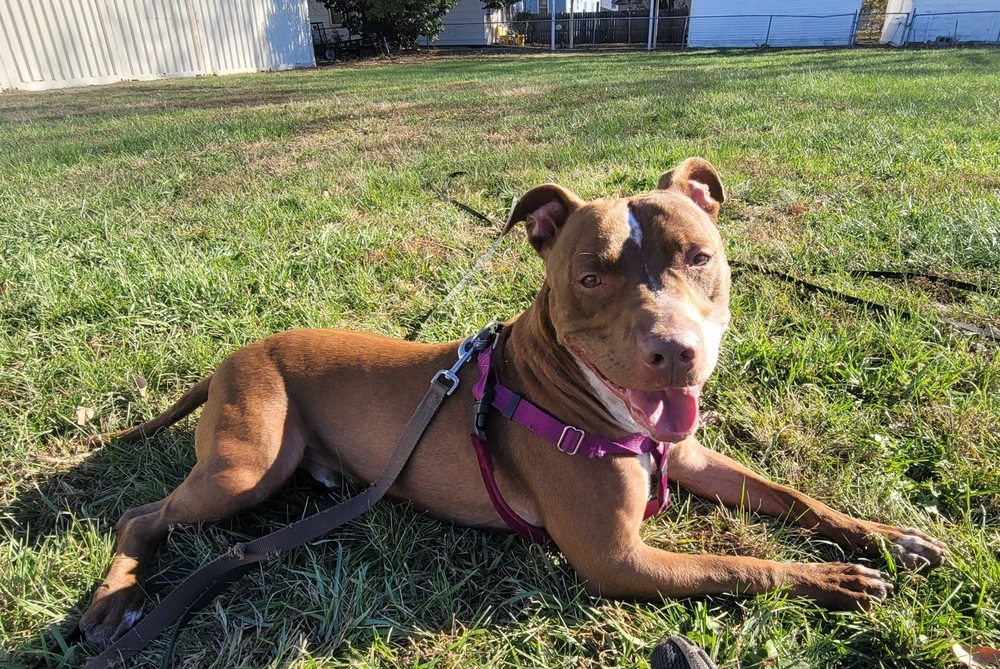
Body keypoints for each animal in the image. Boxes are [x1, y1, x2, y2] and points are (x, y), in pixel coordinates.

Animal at [78, 158, 944, 648]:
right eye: (590, 275)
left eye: (700, 256)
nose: (675, 351)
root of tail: (236, 353)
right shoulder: (618, 557)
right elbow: (741, 563)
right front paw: (835, 581)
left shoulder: (693, 452)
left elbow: (791, 495)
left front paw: (888, 537)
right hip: (246, 465)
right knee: (143, 514)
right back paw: (115, 602)